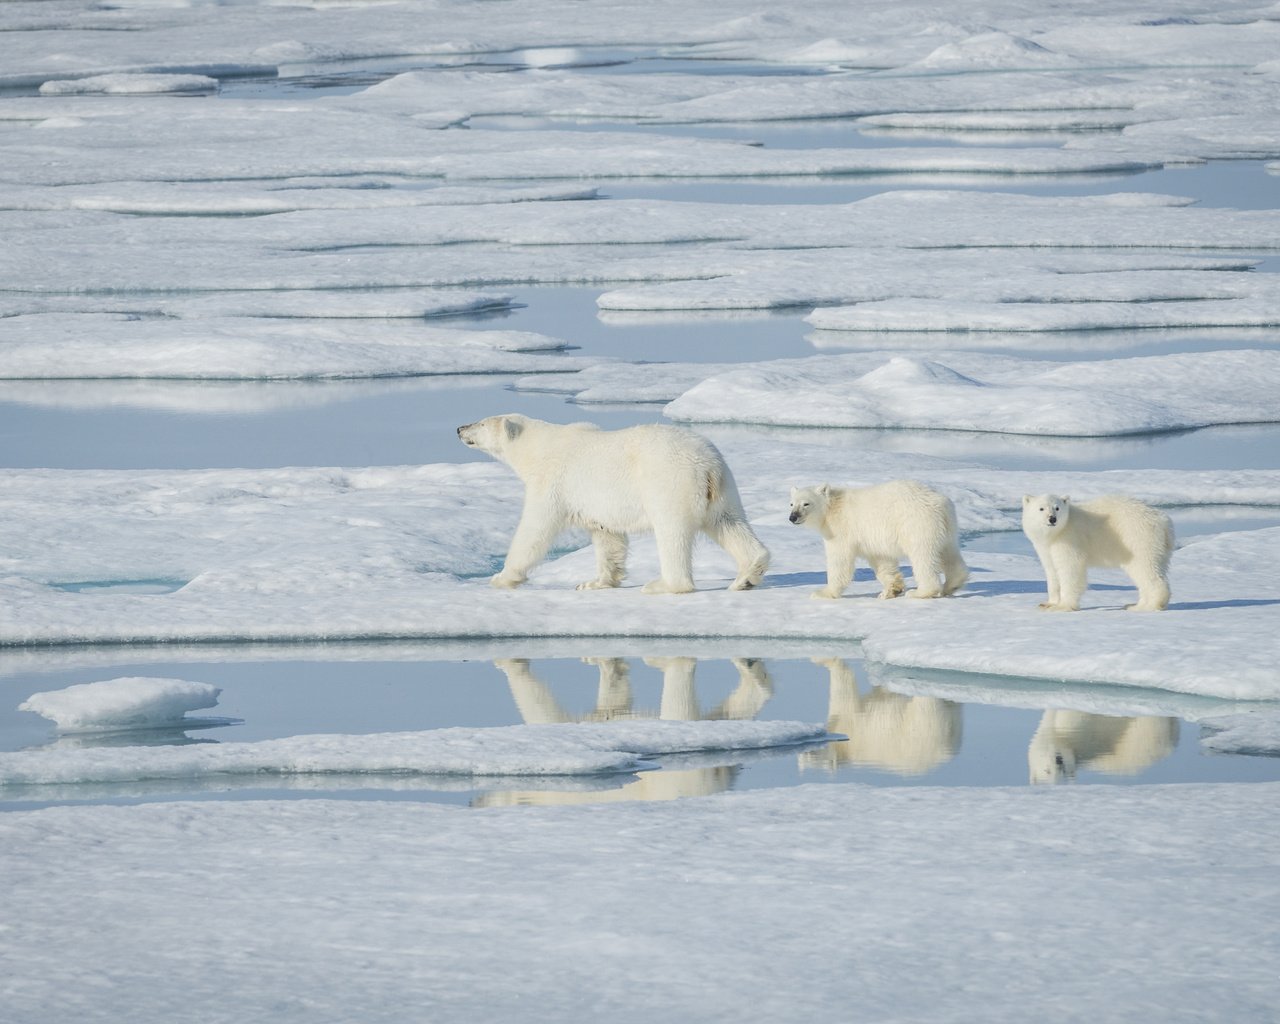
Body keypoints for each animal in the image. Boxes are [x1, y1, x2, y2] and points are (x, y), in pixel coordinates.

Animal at [460, 414, 768, 596]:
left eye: (482, 423)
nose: (460, 428)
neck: (538, 448)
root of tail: (707, 465)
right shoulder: (597, 504)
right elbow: (608, 537)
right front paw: (594, 582)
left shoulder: (553, 483)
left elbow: (535, 529)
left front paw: (502, 577)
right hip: (723, 489)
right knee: (729, 524)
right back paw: (746, 577)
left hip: (670, 482)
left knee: (672, 533)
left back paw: (663, 585)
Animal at [783, 481, 962, 599]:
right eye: (791, 504)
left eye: (806, 503)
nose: (793, 517)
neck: (831, 508)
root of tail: (940, 503)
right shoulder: (872, 540)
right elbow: (882, 561)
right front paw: (891, 590)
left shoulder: (841, 530)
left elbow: (839, 561)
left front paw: (823, 592)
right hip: (946, 528)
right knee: (949, 553)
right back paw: (952, 584)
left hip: (917, 525)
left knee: (923, 557)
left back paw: (920, 592)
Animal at [1018, 494, 1172, 611]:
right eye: (1041, 508)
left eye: (1057, 508)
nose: (1052, 519)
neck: (1056, 533)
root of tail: (1163, 521)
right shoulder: (1045, 547)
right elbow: (1052, 571)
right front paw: (1048, 603)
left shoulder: (1070, 539)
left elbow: (1070, 569)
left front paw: (1063, 606)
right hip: (1158, 547)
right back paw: (1135, 604)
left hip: (1138, 538)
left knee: (1145, 568)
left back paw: (1150, 606)